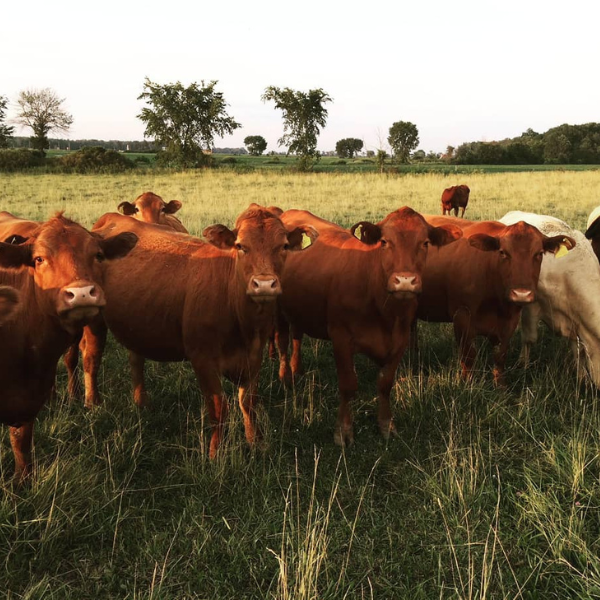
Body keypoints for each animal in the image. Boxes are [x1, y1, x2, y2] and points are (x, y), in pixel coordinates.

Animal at [76, 204, 314, 458]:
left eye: (284, 246)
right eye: (240, 246)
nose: (265, 284)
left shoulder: (254, 357)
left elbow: (249, 402)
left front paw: (255, 442)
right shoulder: (202, 359)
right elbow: (218, 408)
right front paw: (215, 453)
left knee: (135, 359)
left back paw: (141, 402)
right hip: (94, 319)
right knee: (91, 357)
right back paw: (92, 402)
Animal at [274, 206, 462, 446]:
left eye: (425, 243)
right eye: (384, 242)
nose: (405, 281)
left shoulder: (400, 341)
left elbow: (385, 384)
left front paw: (386, 425)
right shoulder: (341, 338)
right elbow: (348, 386)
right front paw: (343, 431)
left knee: (297, 336)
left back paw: (297, 370)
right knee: (282, 342)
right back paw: (286, 378)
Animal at [418, 217, 576, 384]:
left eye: (539, 253)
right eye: (502, 252)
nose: (521, 294)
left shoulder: (510, 321)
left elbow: (500, 356)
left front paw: (500, 385)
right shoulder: (462, 315)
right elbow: (468, 356)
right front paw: (467, 383)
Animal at [500, 211, 600, 386]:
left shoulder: (575, 320)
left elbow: (578, 350)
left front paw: (582, 377)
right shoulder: (531, 305)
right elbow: (529, 338)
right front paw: (522, 366)